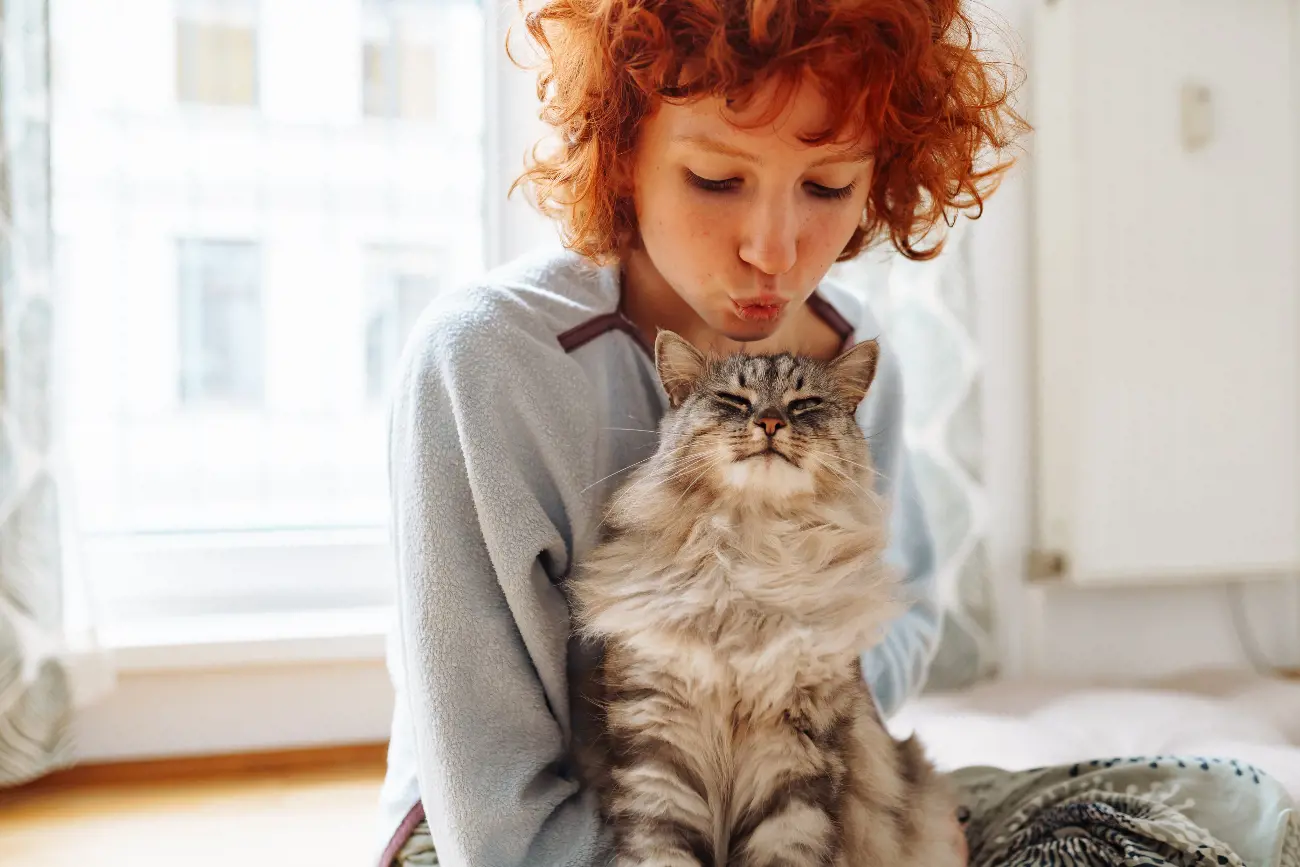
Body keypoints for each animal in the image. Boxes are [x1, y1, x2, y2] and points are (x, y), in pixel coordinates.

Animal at [572, 330, 967, 867]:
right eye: (734, 400)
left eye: (805, 405)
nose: (771, 421)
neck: (750, 550)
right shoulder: (659, 747)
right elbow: (661, 850)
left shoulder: (797, 760)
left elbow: (789, 846)